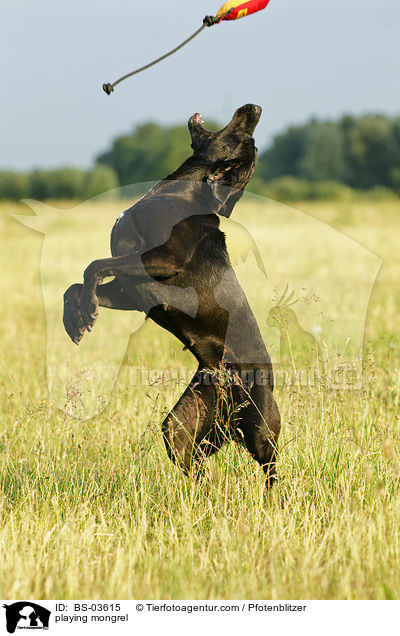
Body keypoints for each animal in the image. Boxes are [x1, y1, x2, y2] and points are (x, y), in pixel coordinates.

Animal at [63, 104, 282, 484]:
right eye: (247, 138)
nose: (254, 108)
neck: (184, 190)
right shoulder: (130, 289)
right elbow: (75, 284)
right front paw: (74, 321)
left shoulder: (165, 259)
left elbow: (93, 266)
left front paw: (87, 310)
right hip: (184, 426)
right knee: (195, 464)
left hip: (260, 428)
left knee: (272, 472)